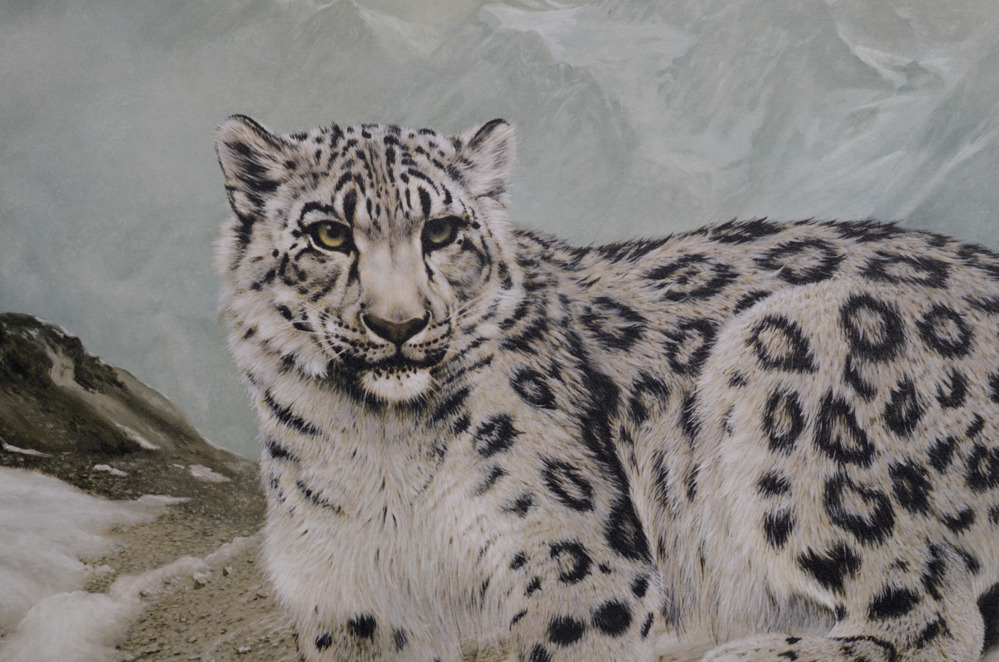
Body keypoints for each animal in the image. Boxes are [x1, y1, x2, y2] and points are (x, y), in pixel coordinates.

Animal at [214, 114, 999, 662]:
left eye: (440, 231)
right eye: (328, 235)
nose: (398, 323)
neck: (373, 443)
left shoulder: (575, 556)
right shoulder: (349, 599)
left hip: (799, 365)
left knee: (930, 616)